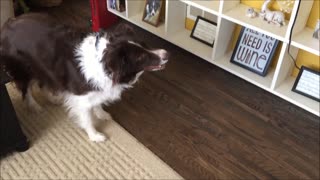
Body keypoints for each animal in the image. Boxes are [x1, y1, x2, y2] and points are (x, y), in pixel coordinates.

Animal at [0, 13, 169, 142]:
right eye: (141, 58)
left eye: (145, 44)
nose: (167, 54)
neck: (105, 64)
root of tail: (8, 23)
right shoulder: (81, 98)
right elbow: (87, 119)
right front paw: (95, 136)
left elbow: (97, 103)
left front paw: (101, 114)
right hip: (23, 68)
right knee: (26, 89)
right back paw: (35, 106)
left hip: (43, 66)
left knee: (44, 83)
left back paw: (53, 99)